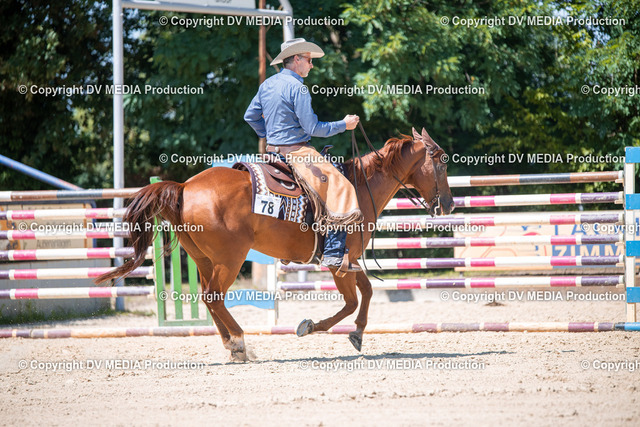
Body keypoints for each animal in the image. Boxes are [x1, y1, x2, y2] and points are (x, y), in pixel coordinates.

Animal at [97, 127, 454, 361]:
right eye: (442, 159)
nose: (449, 204)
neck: (359, 187)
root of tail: (184, 187)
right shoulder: (340, 264)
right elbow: (352, 301)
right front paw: (311, 326)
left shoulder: (350, 260)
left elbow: (365, 293)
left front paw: (356, 333)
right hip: (230, 258)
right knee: (214, 296)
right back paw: (239, 343)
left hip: (204, 259)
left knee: (209, 298)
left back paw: (231, 344)